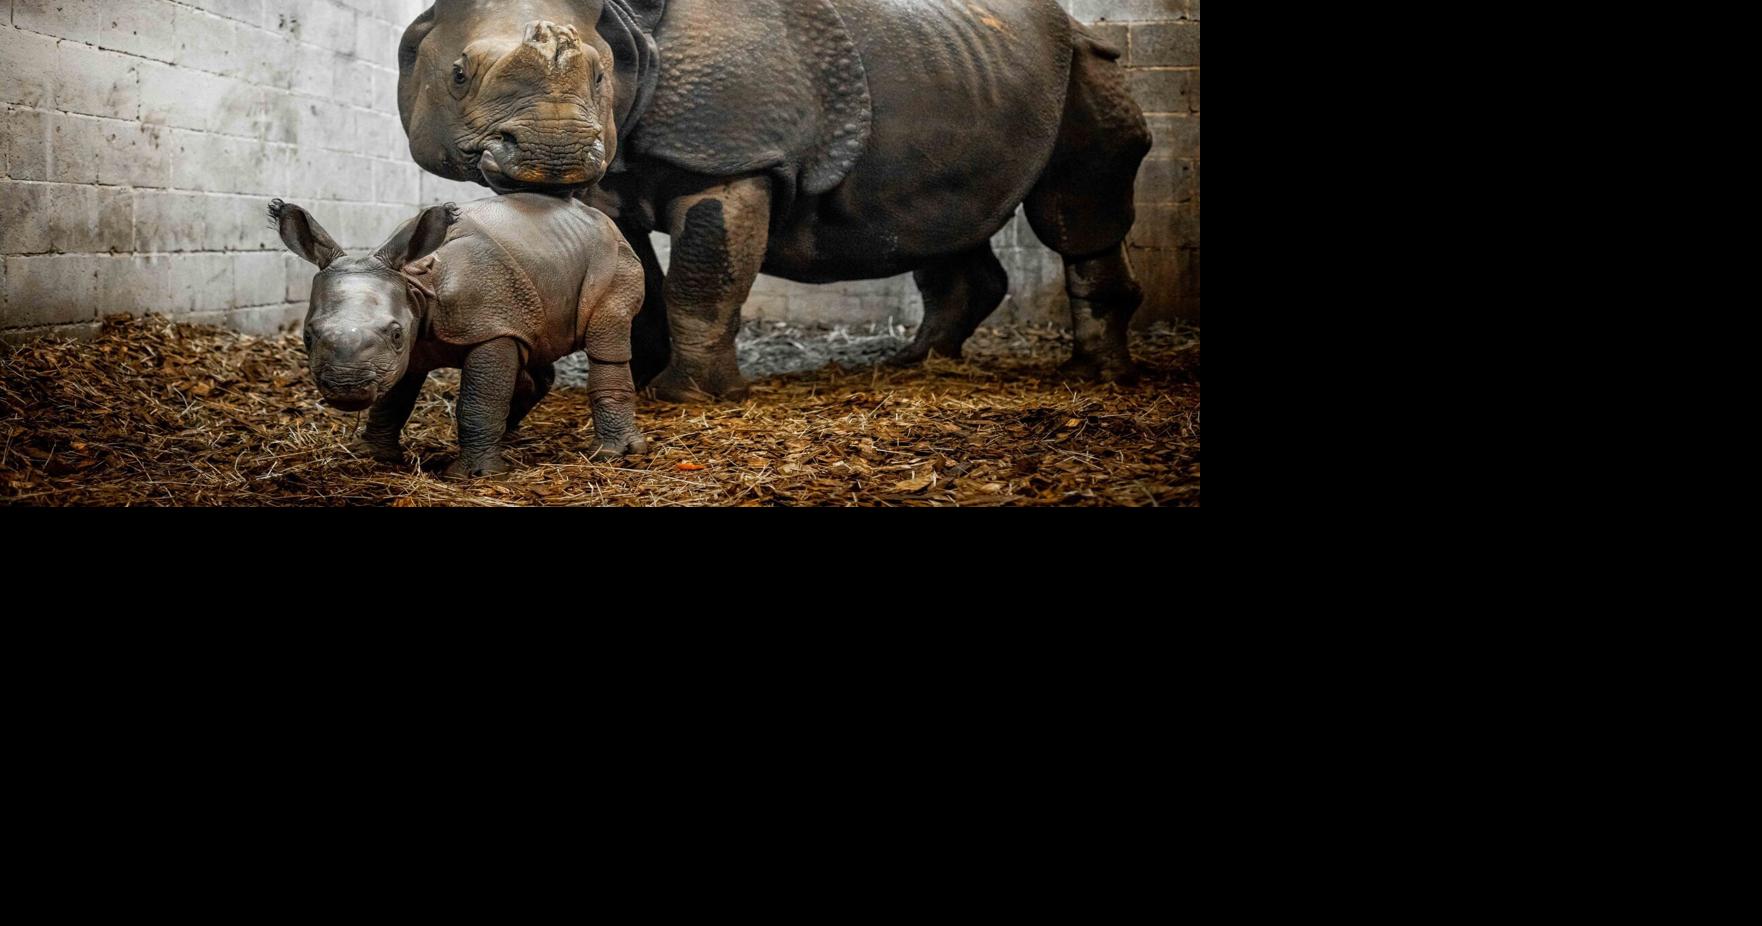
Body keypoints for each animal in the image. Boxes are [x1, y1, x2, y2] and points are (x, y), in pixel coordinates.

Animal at [271, 194, 649, 478]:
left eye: (396, 334)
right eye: (308, 337)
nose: (346, 388)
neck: (415, 283)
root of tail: (601, 217)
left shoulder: (491, 328)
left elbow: (478, 400)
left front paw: (475, 475)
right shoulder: (410, 351)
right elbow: (392, 399)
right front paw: (371, 455)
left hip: (616, 256)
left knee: (607, 338)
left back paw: (613, 453)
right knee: (535, 346)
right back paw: (510, 437)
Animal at [398, 0, 1152, 401]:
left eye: (604, 75)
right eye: (458, 74)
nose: (551, 152)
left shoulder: (735, 159)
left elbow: (702, 276)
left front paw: (686, 396)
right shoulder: (609, 179)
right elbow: (630, 277)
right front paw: (640, 379)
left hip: (1088, 63)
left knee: (1072, 209)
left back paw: (1097, 376)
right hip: (969, 70)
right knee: (942, 223)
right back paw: (916, 363)